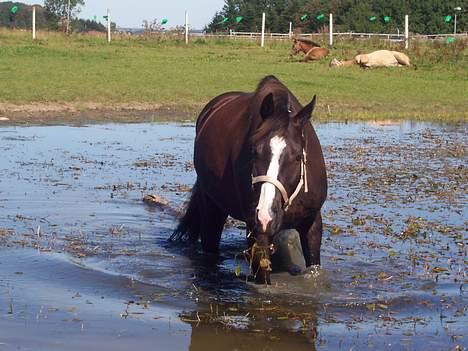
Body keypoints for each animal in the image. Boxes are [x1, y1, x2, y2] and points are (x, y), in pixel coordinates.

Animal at [170, 75, 328, 284]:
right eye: (253, 152)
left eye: (297, 157)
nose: (265, 216)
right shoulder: (257, 235)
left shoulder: (312, 224)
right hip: (212, 207)